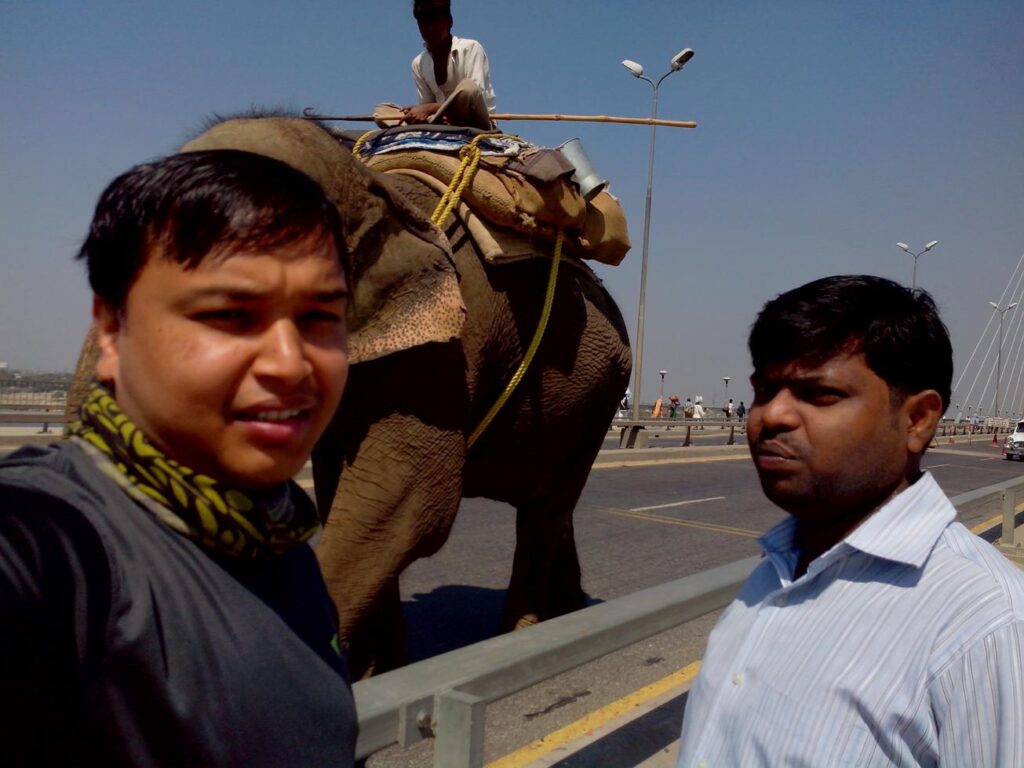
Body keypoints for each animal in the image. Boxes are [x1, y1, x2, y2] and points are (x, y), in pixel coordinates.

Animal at [68, 115, 626, 679]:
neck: (369, 186)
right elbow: (350, 488)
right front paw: (380, 674)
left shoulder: (447, 344)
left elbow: (409, 495)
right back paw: (570, 612)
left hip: (601, 395)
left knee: (545, 509)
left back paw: (520, 639)